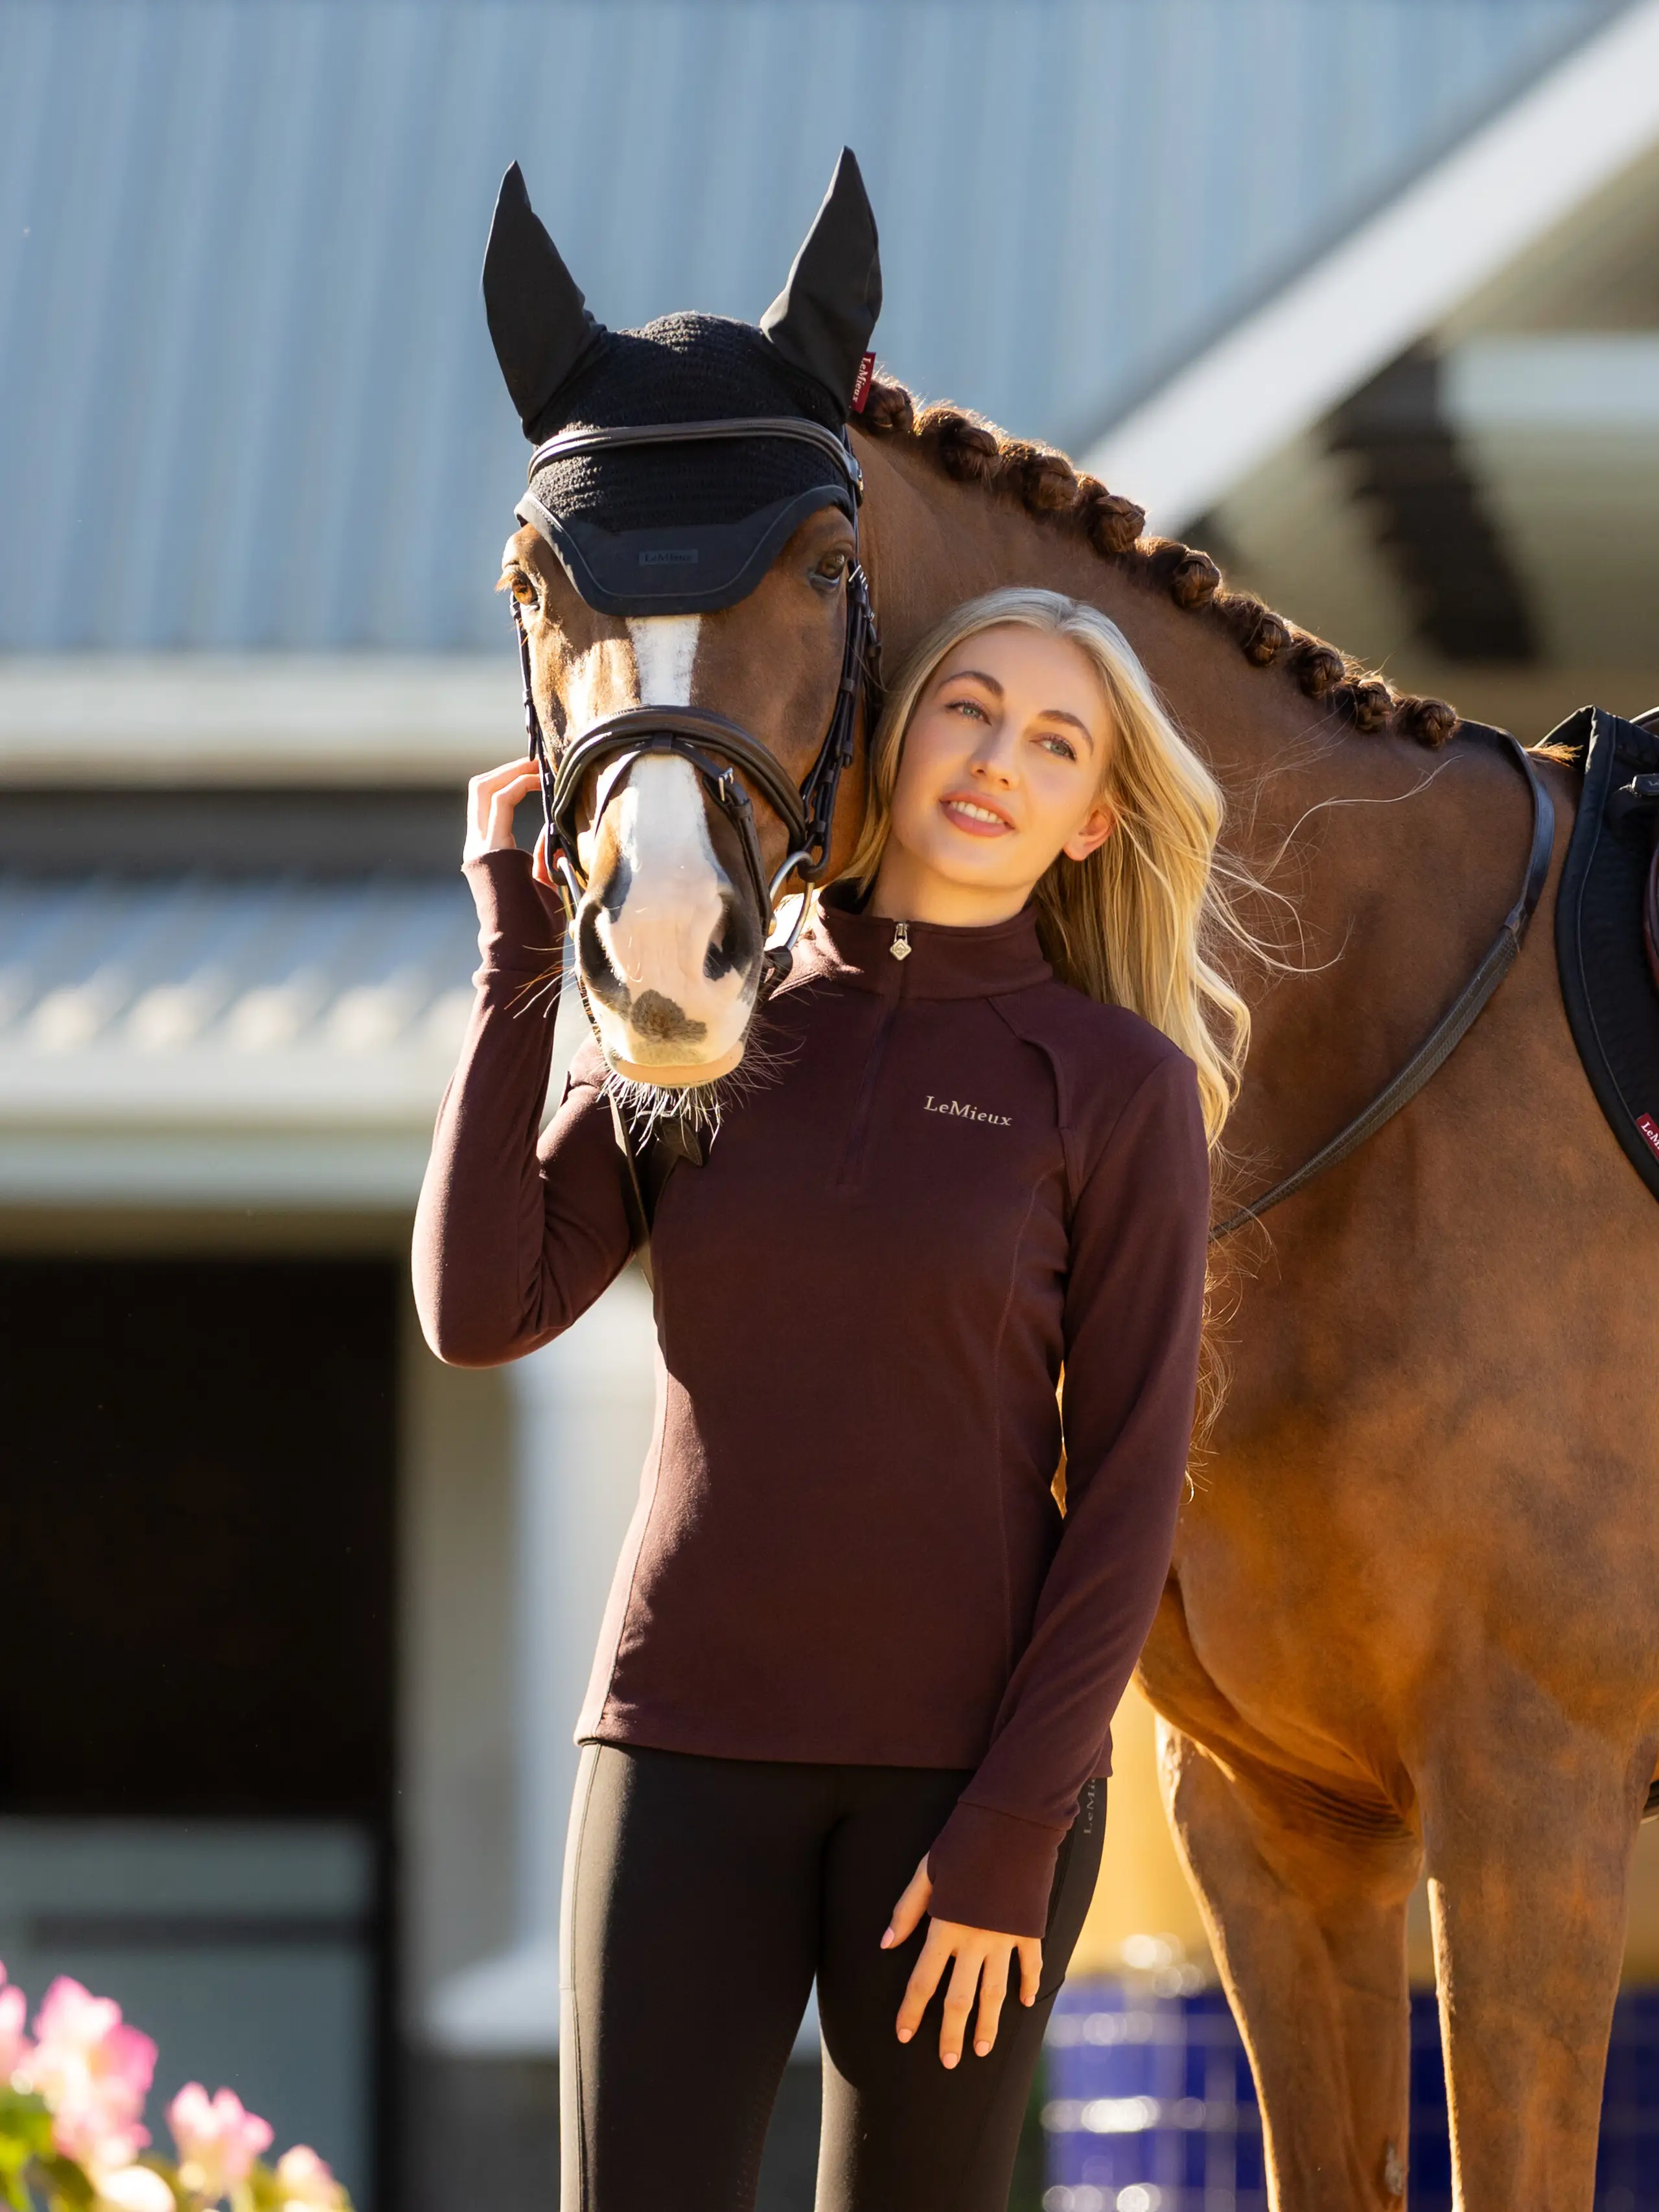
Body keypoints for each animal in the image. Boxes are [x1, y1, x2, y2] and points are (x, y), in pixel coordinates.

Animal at [489, 165, 1659, 2210]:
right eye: (533, 581)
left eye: (823, 561)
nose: (666, 959)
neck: (1376, 1064)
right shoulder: (1286, 1828)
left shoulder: (1535, 1806)